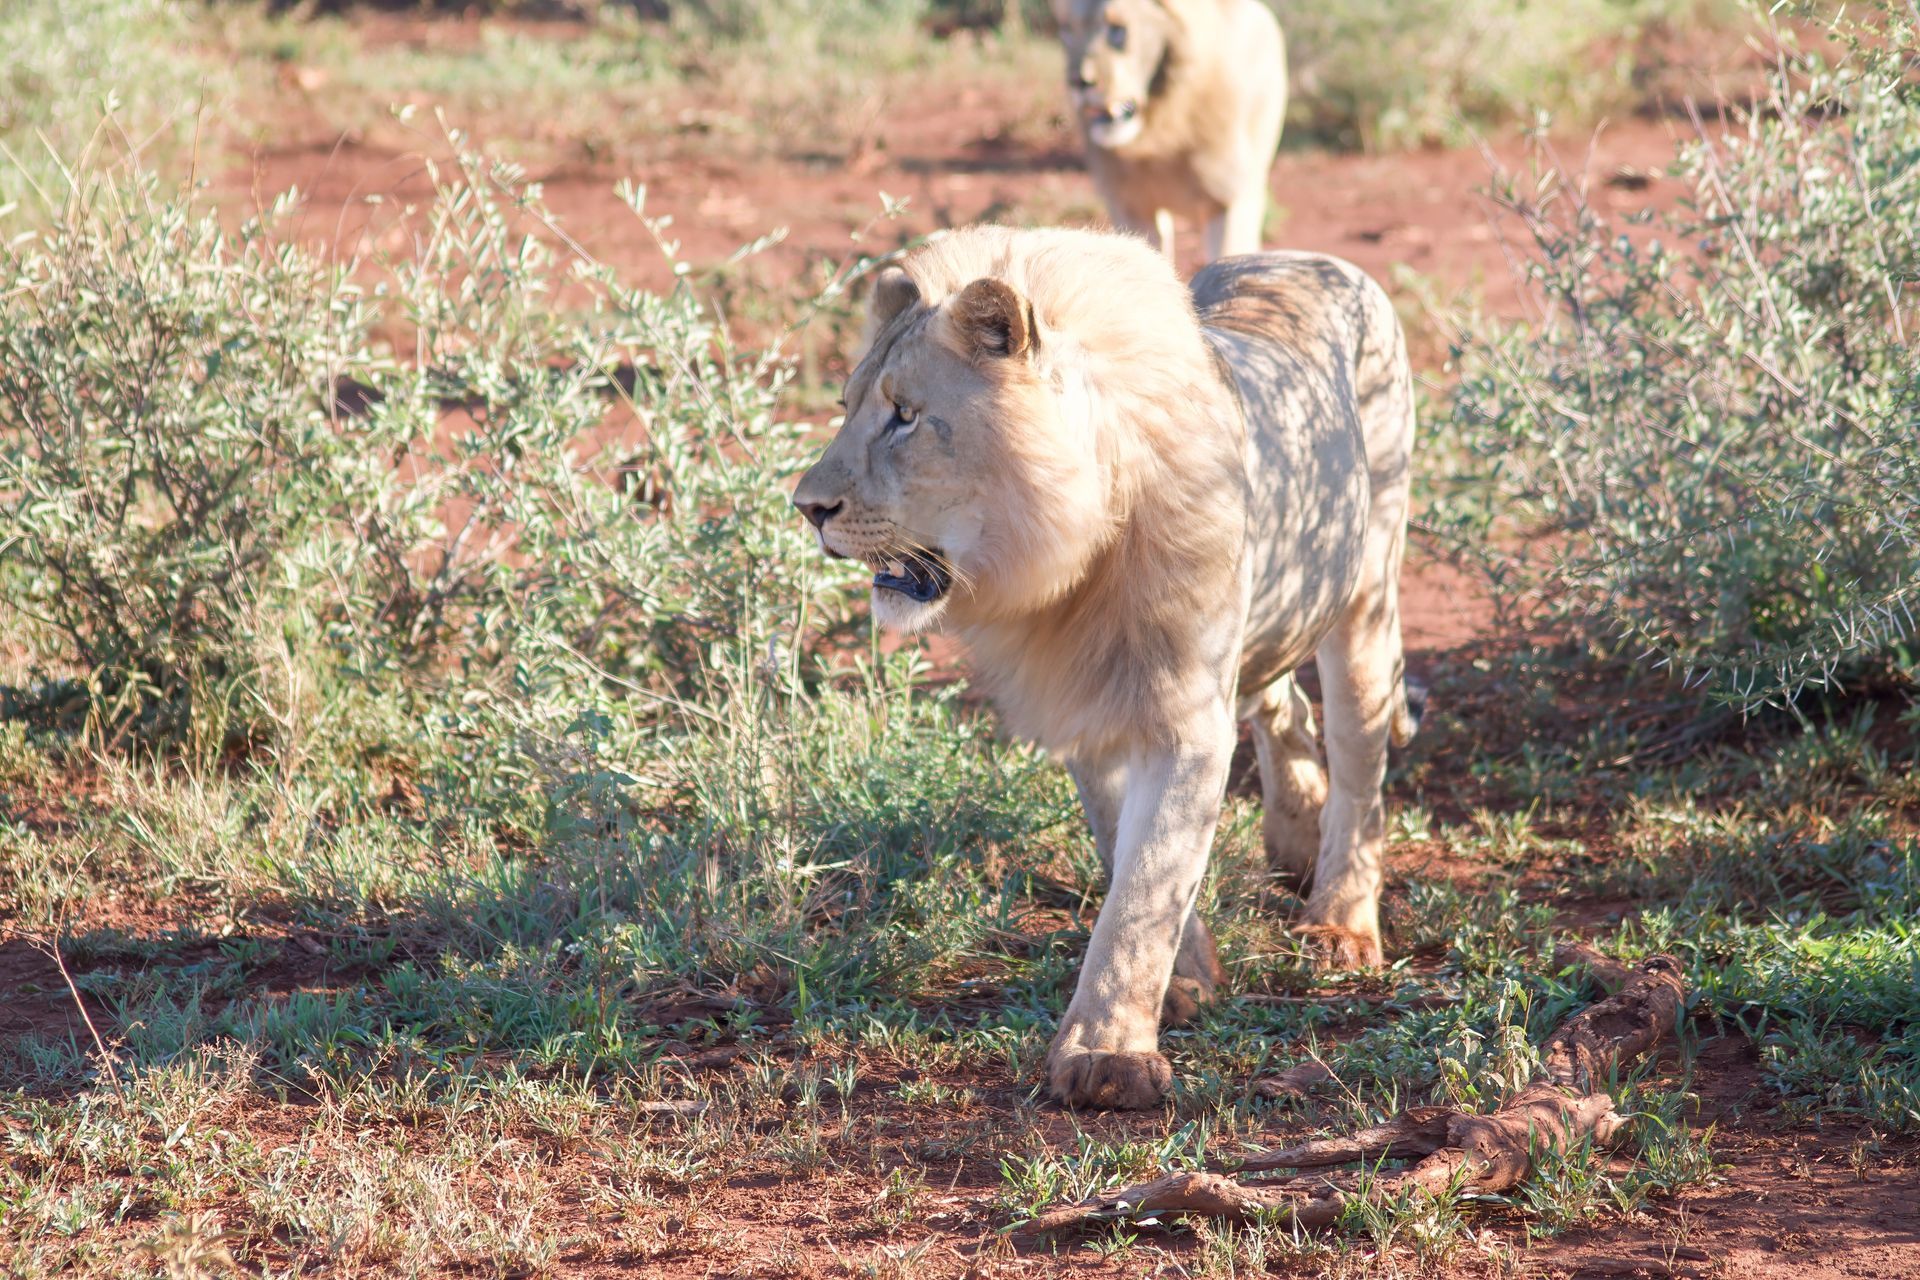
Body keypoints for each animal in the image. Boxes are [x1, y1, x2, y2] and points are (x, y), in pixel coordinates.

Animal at [787, 225, 1420, 1105]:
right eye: (847, 408)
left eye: (905, 417)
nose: (808, 508)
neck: (1072, 558)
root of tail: (1303, 256)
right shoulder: (1088, 709)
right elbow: (1127, 850)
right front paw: (1185, 980)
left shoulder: (1187, 716)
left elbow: (1146, 884)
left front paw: (1106, 1056)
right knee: (1279, 700)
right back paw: (1295, 828)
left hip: (1367, 587)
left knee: (1361, 764)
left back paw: (1340, 922)